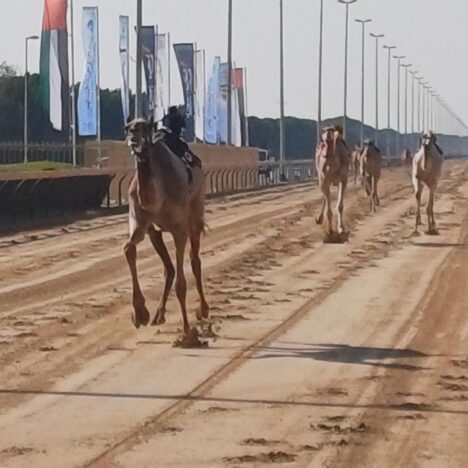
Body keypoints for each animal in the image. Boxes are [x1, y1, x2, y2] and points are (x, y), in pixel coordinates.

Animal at [122, 115, 208, 334]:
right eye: (127, 127)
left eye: (146, 127)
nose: (134, 136)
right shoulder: (141, 223)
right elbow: (128, 248)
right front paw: (140, 313)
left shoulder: (180, 229)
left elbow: (181, 283)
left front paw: (186, 329)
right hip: (156, 231)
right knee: (169, 268)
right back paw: (158, 315)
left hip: (196, 213)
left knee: (194, 260)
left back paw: (203, 310)